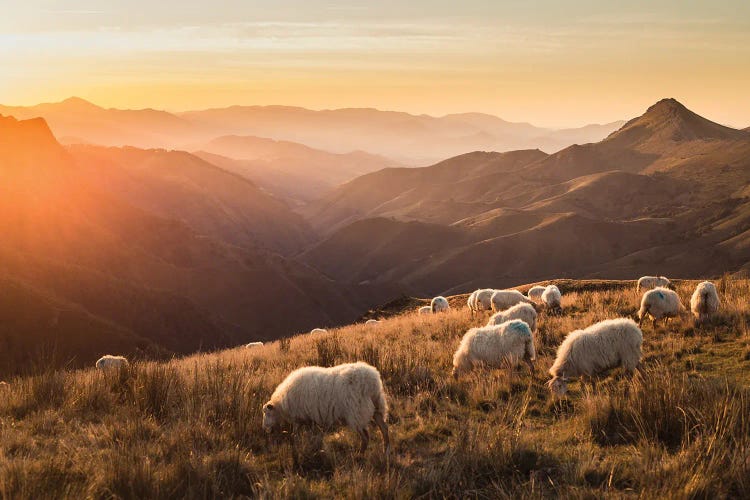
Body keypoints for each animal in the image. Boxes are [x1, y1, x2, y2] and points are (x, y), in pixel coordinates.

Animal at [262, 362, 390, 456]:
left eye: (267, 414)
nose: (265, 428)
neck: (281, 403)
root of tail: (372, 381)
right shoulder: (307, 418)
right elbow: (306, 433)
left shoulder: (302, 417)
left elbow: (297, 434)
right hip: (377, 406)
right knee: (384, 428)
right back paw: (385, 451)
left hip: (356, 412)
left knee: (365, 436)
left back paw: (360, 454)